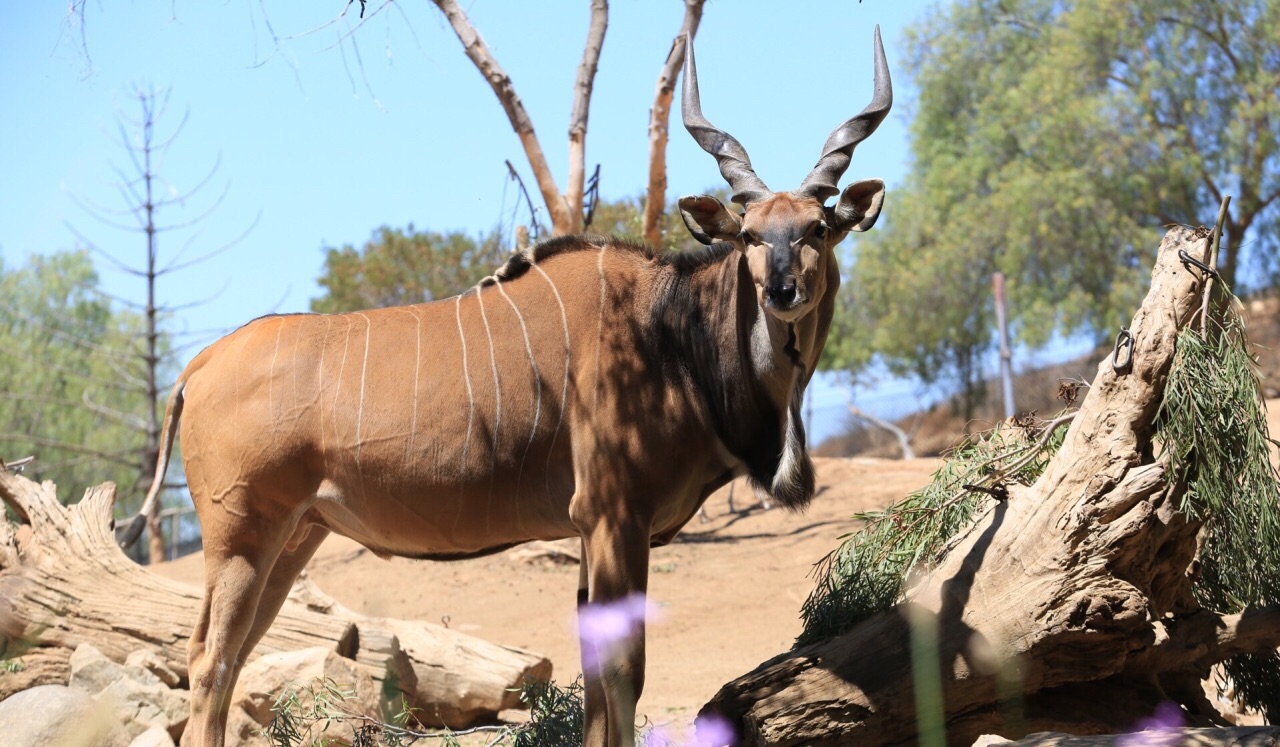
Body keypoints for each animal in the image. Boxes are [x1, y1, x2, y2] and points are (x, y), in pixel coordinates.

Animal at [127, 27, 890, 747]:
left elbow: (596, 673)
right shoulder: (614, 515)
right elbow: (624, 670)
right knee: (209, 660)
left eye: (817, 227)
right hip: (242, 533)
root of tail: (199, 366)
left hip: (294, 534)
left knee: (231, 659)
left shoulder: (592, 528)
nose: (784, 290)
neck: (668, 330)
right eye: (752, 234)